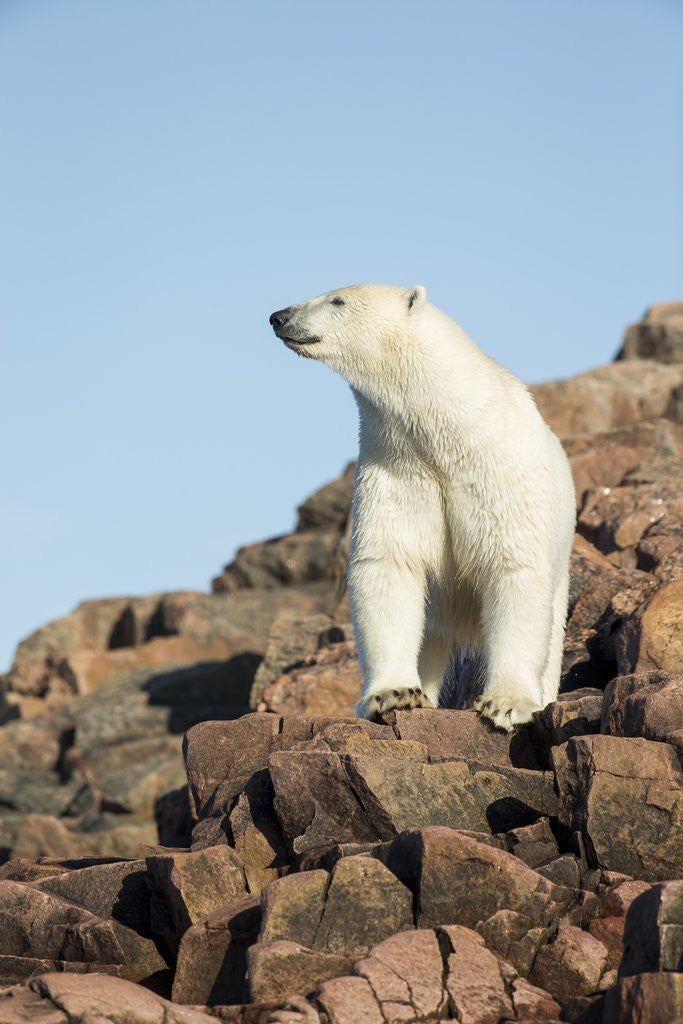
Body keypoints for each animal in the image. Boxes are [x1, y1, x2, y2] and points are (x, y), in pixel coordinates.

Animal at [269, 284, 575, 730]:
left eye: (337, 300)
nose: (279, 317)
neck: (445, 432)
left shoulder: (498, 471)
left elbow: (512, 567)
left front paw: (505, 703)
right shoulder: (397, 469)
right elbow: (389, 565)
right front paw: (393, 694)